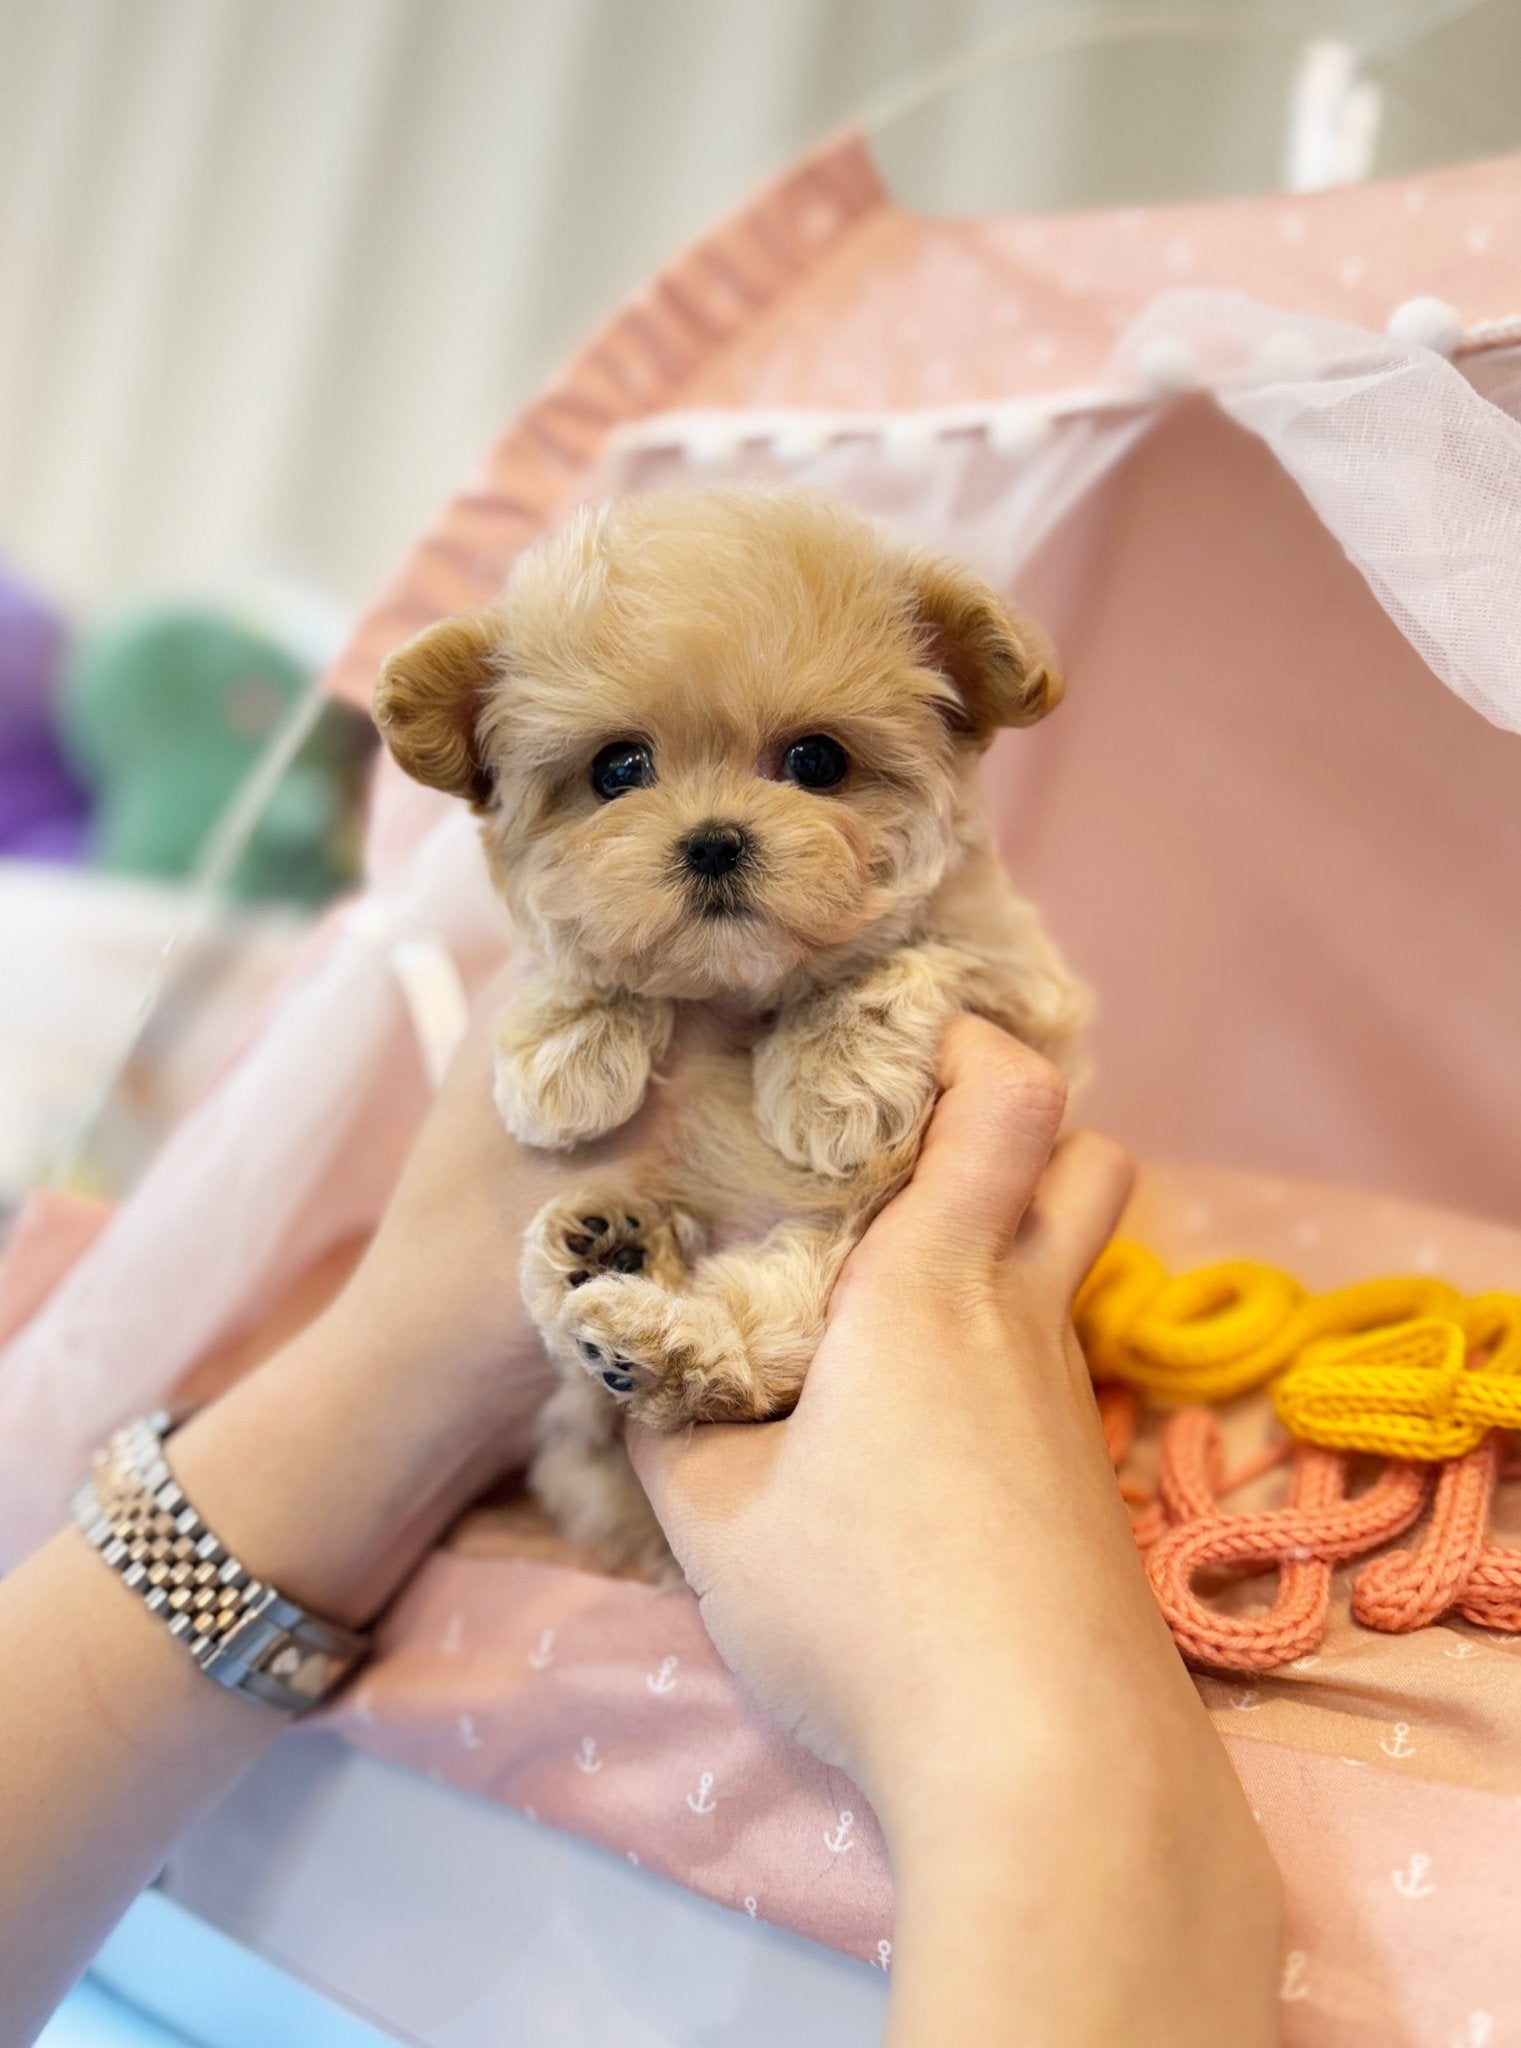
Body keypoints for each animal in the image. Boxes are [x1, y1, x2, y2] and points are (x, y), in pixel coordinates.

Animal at [370, 487, 1089, 1572]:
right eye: (617, 768)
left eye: (817, 761)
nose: (713, 841)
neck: (743, 987)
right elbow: (589, 953)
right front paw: (565, 1048)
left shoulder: (1022, 983)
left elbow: (901, 962)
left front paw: (831, 1082)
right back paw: (599, 1251)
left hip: (817, 1277)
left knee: (745, 1367)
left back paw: (650, 1332)